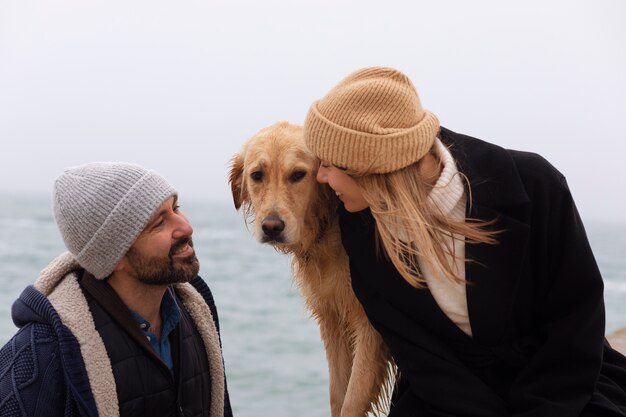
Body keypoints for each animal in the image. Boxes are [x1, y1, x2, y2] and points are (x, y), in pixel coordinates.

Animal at [229, 121, 392, 416]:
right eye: (257, 175)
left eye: (298, 175)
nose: (272, 227)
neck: (330, 225)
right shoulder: (333, 320)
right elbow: (338, 395)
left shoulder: (370, 328)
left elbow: (351, 401)